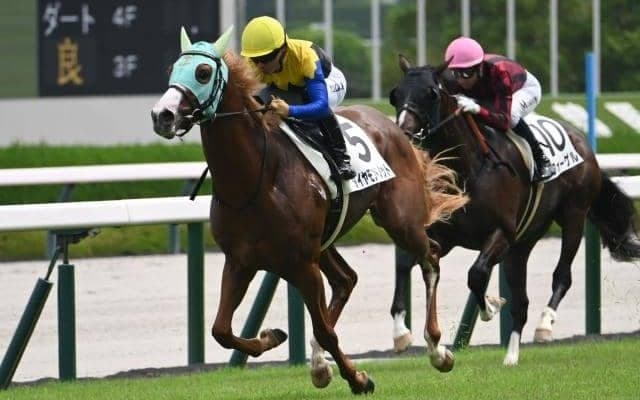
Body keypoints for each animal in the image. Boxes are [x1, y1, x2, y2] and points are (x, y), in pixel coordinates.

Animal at [151, 28, 467, 393]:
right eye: (172, 68)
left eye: (203, 72)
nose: (162, 115)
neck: (255, 180)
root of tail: (392, 126)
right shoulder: (241, 261)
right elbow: (222, 330)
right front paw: (272, 337)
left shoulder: (301, 263)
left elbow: (324, 331)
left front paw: (358, 378)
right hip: (325, 242)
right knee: (346, 280)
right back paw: (318, 364)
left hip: (399, 220)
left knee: (430, 256)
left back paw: (437, 349)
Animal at [388, 55, 640, 365]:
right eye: (396, 94)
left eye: (431, 93)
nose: (403, 134)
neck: (468, 168)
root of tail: (584, 144)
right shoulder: (444, 236)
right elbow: (404, 263)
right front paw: (400, 332)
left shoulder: (501, 233)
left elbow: (477, 273)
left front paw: (490, 307)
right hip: (521, 245)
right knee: (521, 303)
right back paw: (511, 356)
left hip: (573, 216)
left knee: (562, 275)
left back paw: (545, 325)